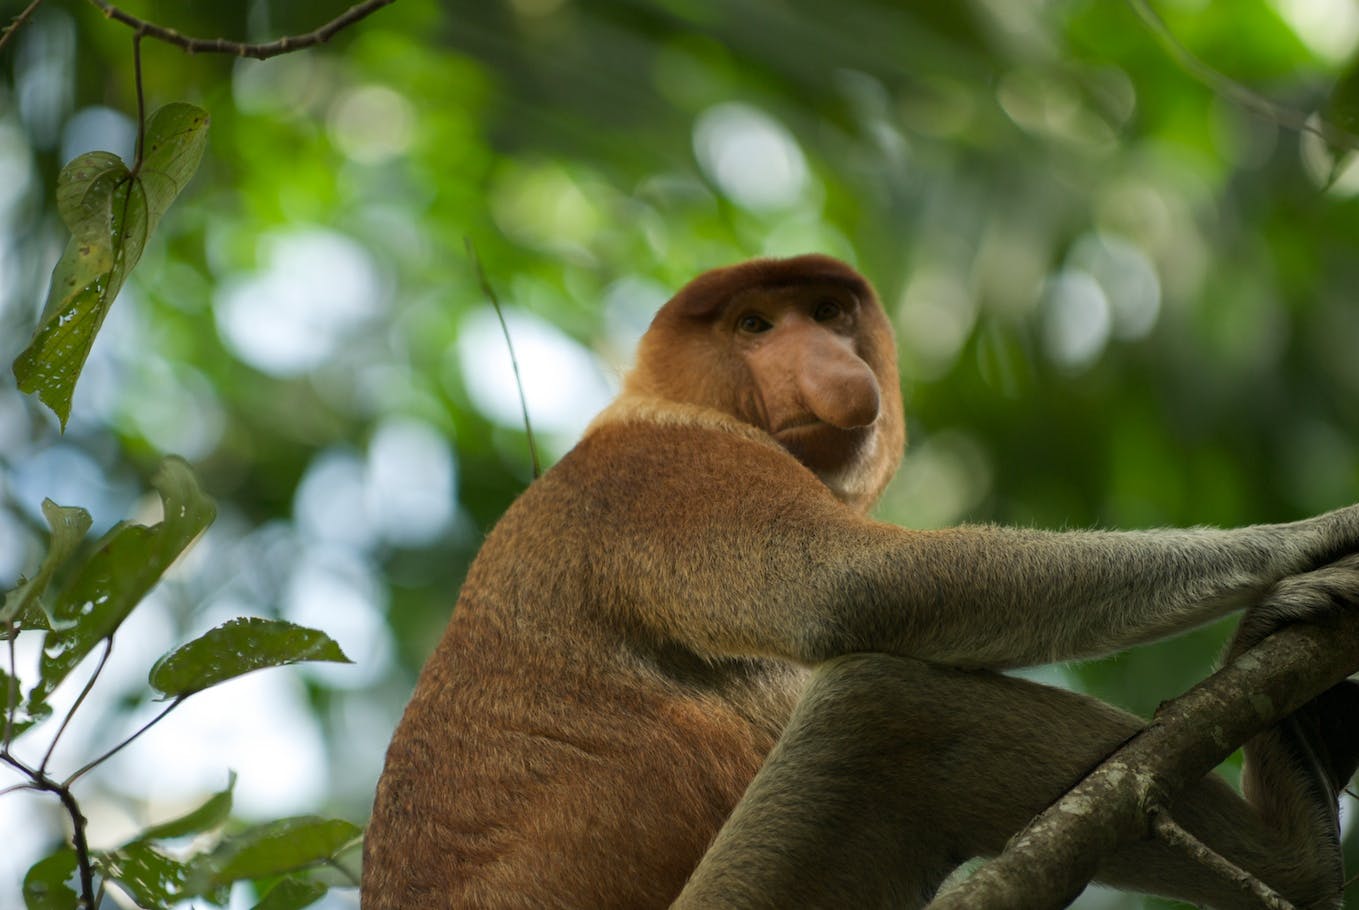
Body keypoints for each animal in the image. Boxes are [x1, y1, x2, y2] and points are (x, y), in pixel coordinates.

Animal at [361, 252, 1359, 907]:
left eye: (828, 312)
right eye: (754, 326)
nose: (831, 366)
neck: (658, 399)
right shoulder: (670, 471)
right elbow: (854, 587)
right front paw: (1311, 539)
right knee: (884, 711)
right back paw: (1299, 856)